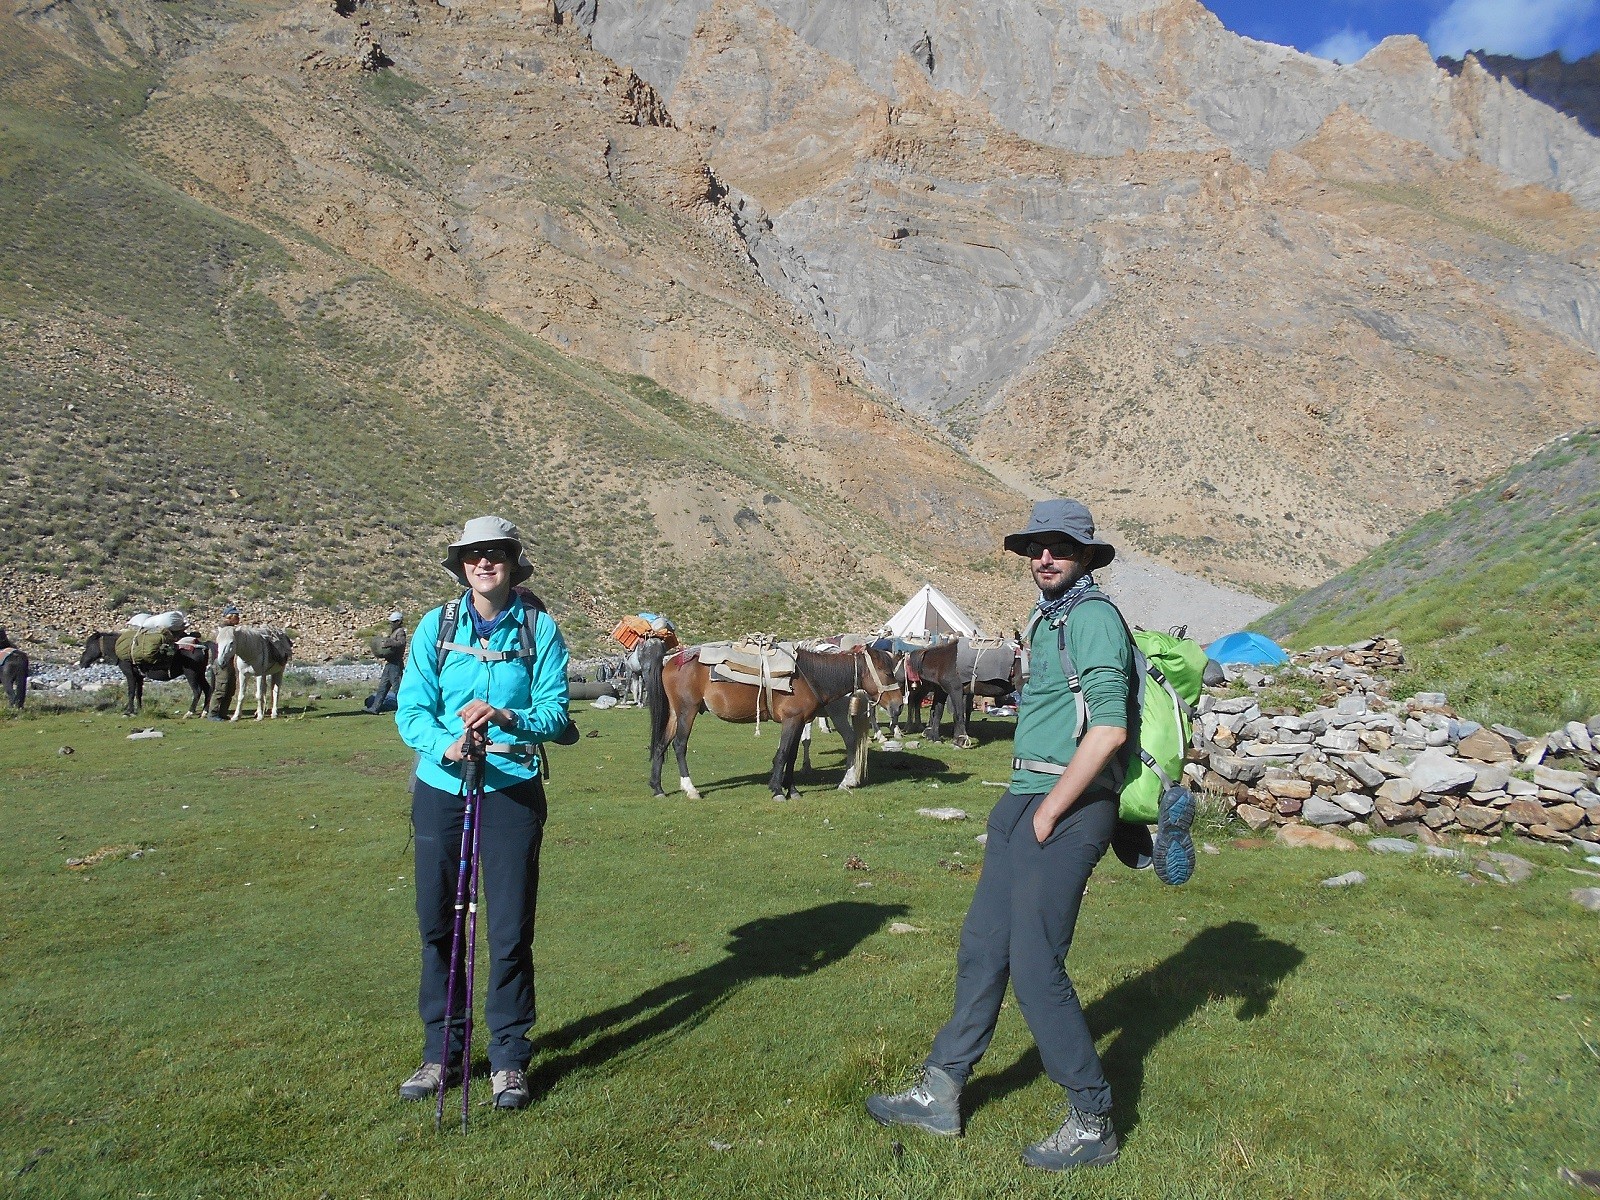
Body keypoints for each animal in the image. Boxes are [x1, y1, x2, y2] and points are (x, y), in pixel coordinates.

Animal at [78, 630, 212, 713]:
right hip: (200, 674)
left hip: (191, 674)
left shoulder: (130, 675)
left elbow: (131, 692)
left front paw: (129, 711)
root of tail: (203, 647)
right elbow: (139, 693)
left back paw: (190, 712)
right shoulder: (139, 676)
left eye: (88, 645)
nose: (81, 663)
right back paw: (204, 712)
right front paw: (139, 709)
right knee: (208, 689)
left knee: (197, 691)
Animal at [640, 640, 915, 800]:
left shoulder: (799, 721)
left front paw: (791, 790)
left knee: (661, 745)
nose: (898, 704)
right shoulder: (791, 720)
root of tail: (669, 659)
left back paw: (657, 788)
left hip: (674, 713)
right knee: (679, 746)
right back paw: (690, 789)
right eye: (887, 671)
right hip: (687, 711)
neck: (811, 675)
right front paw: (776, 790)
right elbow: (783, 753)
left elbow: (791, 755)